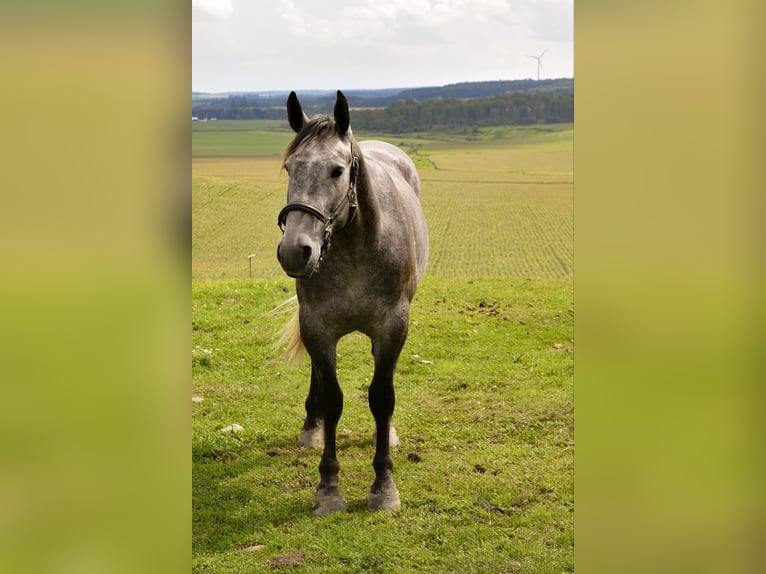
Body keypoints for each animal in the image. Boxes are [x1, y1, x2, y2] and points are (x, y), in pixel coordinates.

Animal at [276, 90, 429, 516]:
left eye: (337, 170)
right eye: (290, 168)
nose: (295, 251)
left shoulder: (392, 326)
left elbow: (382, 397)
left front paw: (384, 485)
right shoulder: (317, 326)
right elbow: (331, 399)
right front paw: (328, 488)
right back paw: (311, 428)